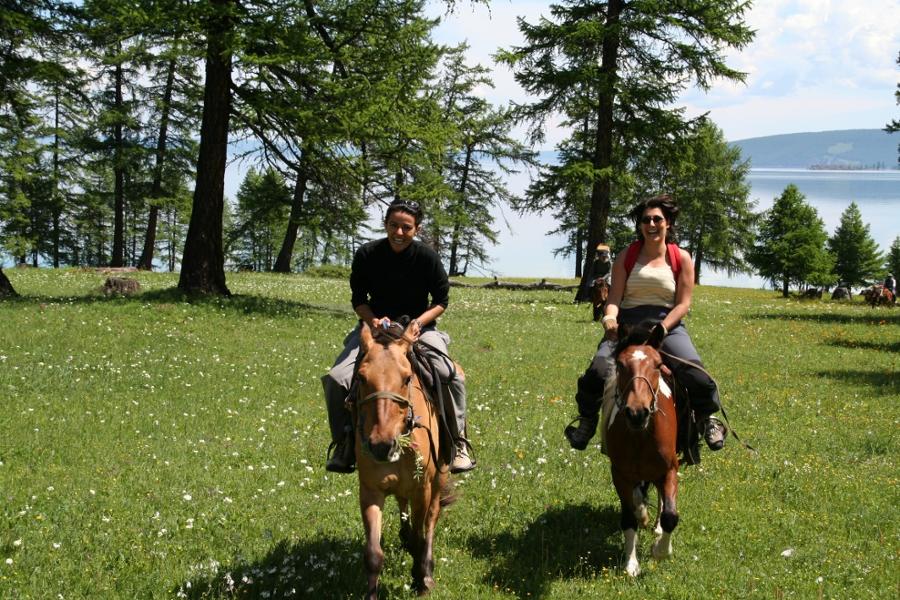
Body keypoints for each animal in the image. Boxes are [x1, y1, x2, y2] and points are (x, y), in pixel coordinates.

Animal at [350, 322, 450, 596]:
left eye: (406, 378)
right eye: (361, 377)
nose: (381, 445)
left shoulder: (422, 490)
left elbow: (420, 535)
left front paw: (420, 578)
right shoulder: (370, 491)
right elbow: (373, 554)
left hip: (440, 477)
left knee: (431, 519)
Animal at [604, 324, 684, 576]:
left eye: (657, 364)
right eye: (620, 364)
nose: (637, 412)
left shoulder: (669, 470)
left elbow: (670, 516)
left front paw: (660, 550)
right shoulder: (620, 475)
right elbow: (628, 518)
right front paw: (631, 564)